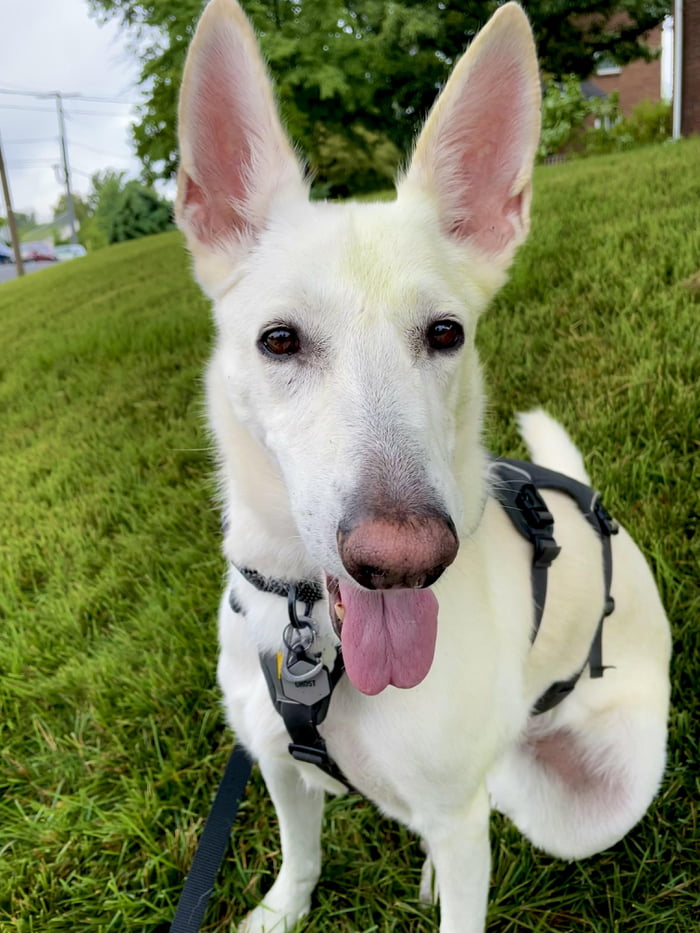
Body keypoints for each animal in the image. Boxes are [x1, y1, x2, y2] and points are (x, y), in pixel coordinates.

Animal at [172, 3, 668, 928]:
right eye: (278, 339)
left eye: (446, 333)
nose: (403, 563)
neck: (315, 639)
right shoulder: (277, 765)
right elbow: (301, 854)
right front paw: (281, 910)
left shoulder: (460, 817)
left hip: (583, 803)